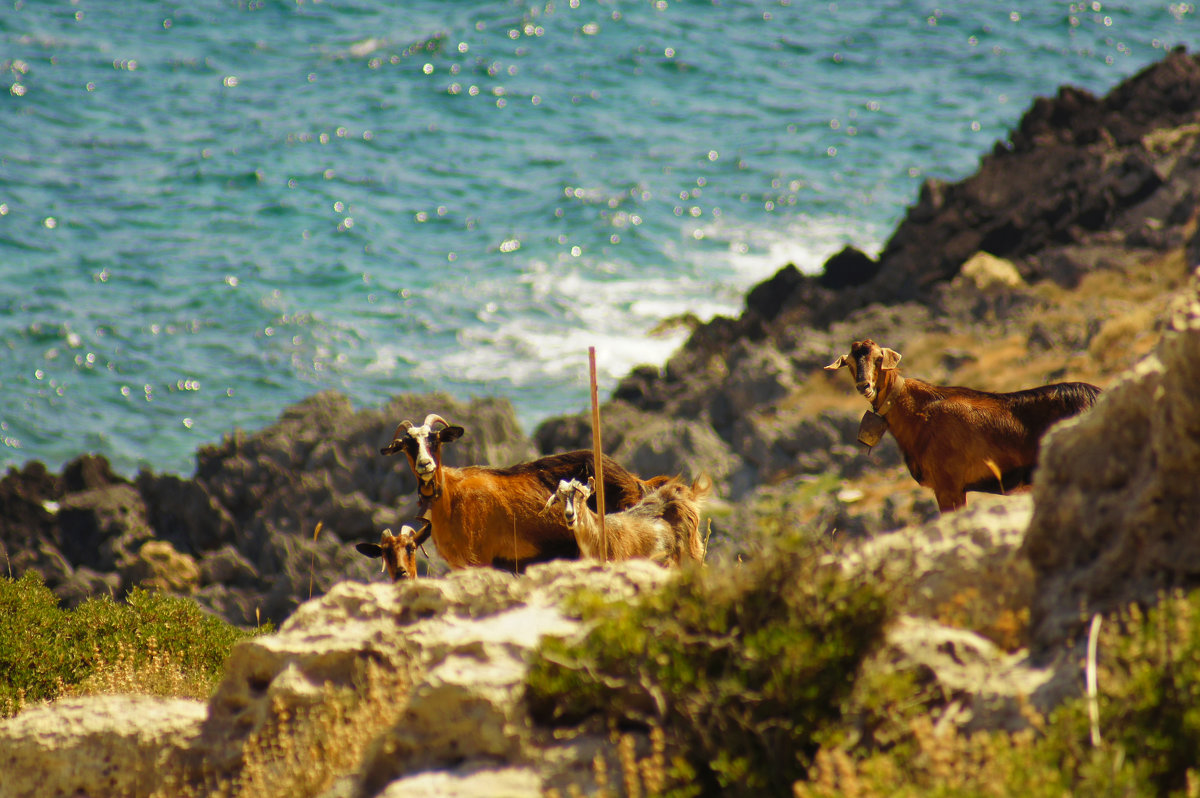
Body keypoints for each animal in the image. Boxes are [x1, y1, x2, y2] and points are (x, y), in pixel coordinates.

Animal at [379, 412, 672, 568]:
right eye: (407, 445)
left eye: (436, 440)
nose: (425, 464)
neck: (451, 498)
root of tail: (635, 481)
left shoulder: (479, 558)